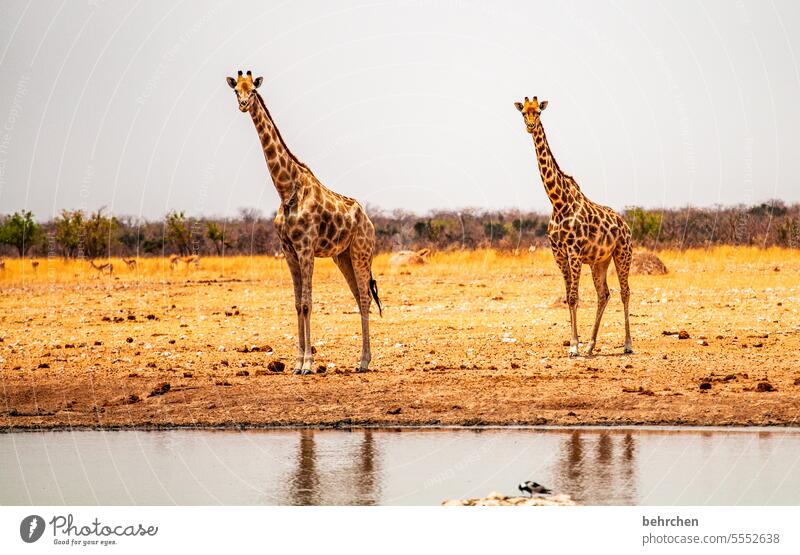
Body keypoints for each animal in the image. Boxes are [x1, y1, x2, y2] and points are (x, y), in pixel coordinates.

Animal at [228, 69, 384, 374]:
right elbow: (297, 303)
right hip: (342, 256)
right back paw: (361, 360)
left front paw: (308, 364)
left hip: (361, 251)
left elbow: (308, 303)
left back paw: (363, 361)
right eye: (235, 90)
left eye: (253, 89)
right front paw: (297, 362)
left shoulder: (306, 248)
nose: (242, 104)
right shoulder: (289, 250)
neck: (286, 188)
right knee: (359, 298)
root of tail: (369, 220)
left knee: (364, 297)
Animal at [516, 96, 636, 358]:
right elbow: (569, 297)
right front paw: (576, 344)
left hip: (623, 253)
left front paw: (573, 347)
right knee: (604, 294)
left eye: (538, 112)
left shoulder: (574, 252)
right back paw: (591, 345)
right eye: (523, 113)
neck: (558, 201)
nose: (530, 126)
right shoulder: (559, 254)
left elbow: (574, 296)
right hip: (600, 261)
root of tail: (626, 225)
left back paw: (628, 344)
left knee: (625, 292)